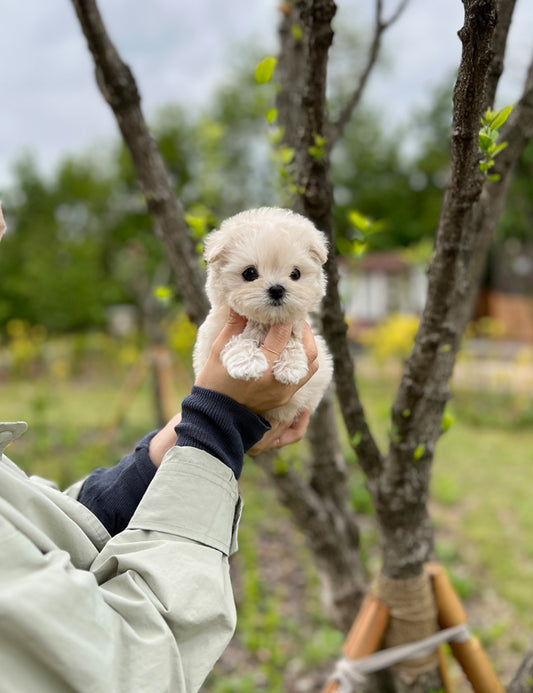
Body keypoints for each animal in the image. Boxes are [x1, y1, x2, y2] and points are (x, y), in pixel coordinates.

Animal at [191, 205, 332, 418]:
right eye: (249, 273)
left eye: (295, 274)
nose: (277, 289)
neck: (263, 322)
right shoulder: (212, 341)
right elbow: (237, 340)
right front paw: (248, 362)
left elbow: (293, 340)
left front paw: (291, 366)